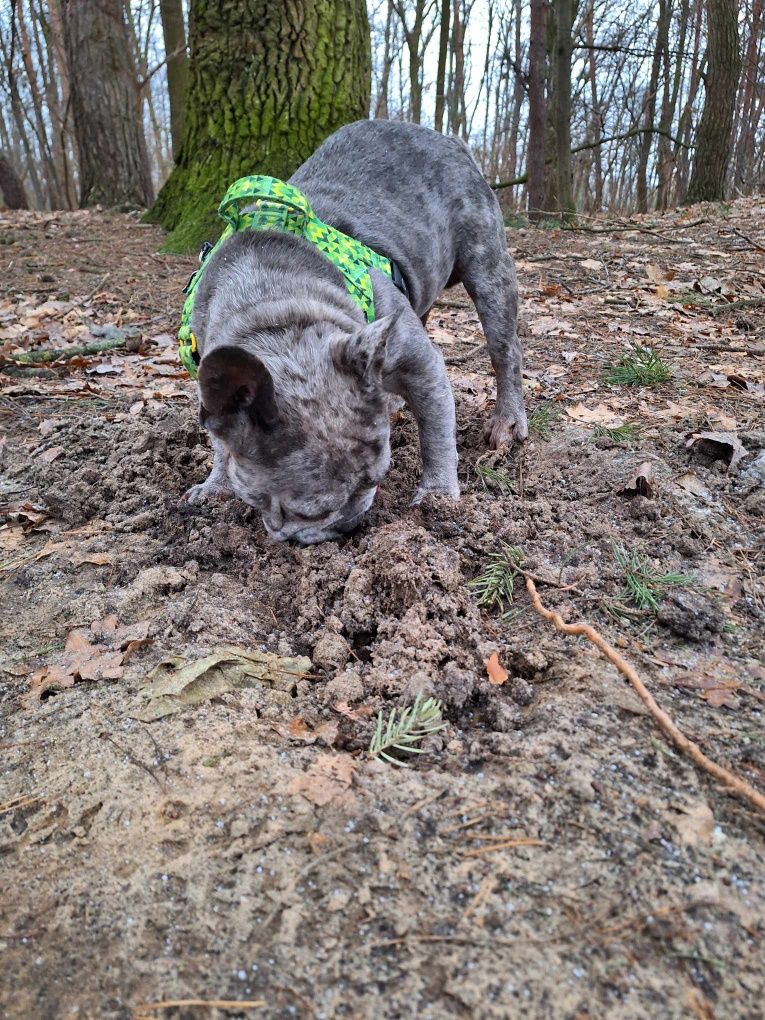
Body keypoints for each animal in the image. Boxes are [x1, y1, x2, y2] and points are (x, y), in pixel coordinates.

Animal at [185, 119, 526, 542]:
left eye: (379, 478)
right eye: (312, 513)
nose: (350, 524)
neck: (276, 309)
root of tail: (448, 140)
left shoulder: (421, 364)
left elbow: (437, 432)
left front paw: (438, 497)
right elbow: (220, 441)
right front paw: (216, 486)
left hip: (487, 265)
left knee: (504, 350)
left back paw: (508, 421)